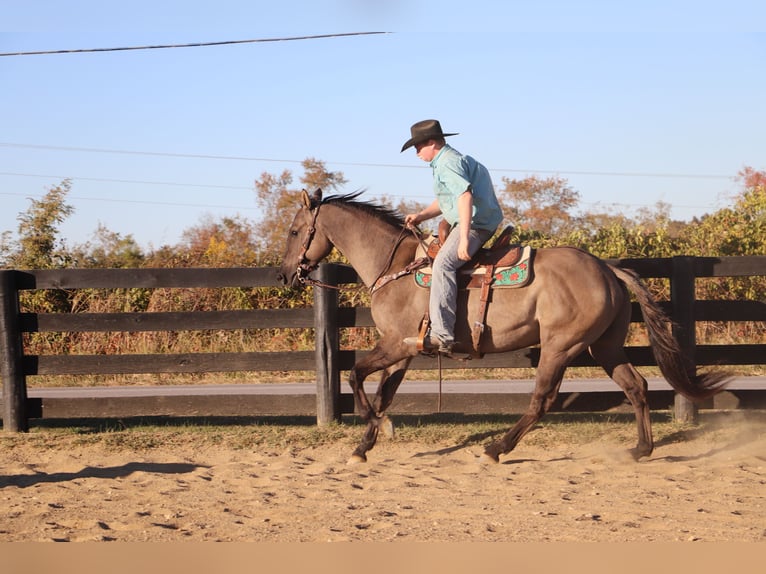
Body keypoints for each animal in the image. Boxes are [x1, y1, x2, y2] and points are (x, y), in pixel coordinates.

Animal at [278, 190, 732, 468]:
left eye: (295, 230)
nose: (283, 275)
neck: (397, 267)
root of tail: (608, 269)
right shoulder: (404, 351)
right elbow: (381, 393)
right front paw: (365, 444)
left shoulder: (396, 345)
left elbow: (355, 376)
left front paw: (376, 429)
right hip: (603, 348)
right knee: (636, 385)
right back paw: (641, 448)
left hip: (559, 348)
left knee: (542, 401)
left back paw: (496, 449)